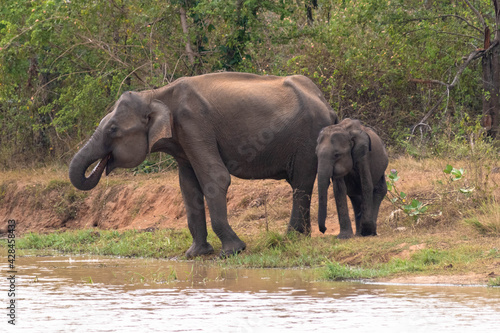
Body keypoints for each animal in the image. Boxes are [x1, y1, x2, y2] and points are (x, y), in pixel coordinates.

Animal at [68, 71, 338, 255]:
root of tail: (327, 104)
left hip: (308, 137)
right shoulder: (183, 138)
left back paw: (291, 238)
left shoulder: (193, 123)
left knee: (301, 183)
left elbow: (216, 177)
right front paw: (196, 254)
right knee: (301, 184)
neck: (155, 94)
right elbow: (188, 187)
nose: (102, 166)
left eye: (113, 129)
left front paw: (232, 252)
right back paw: (300, 237)